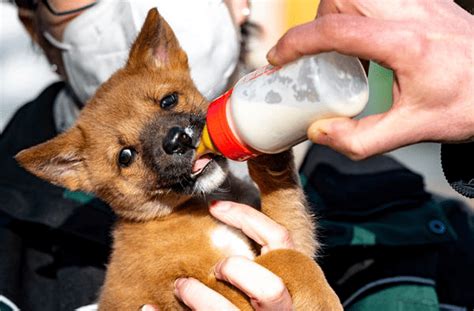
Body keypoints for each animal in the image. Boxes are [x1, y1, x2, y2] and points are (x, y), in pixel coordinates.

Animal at [14, 8, 340, 310]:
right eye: (125, 156)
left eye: (168, 100)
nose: (176, 140)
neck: (200, 206)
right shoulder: (202, 286)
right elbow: (288, 259)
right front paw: (324, 299)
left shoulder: (280, 234)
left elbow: (289, 229)